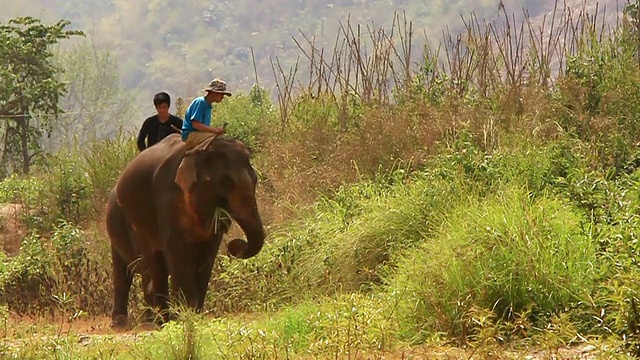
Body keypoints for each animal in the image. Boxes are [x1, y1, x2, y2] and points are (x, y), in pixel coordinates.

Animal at [105, 134, 264, 328]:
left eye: (256, 180)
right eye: (225, 183)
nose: (233, 245)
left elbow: (207, 252)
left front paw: (195, 314)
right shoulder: (168, 197)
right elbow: (177, 249)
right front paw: (185, 316)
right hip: (132, 221)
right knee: (142, 268)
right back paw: (144, 322)